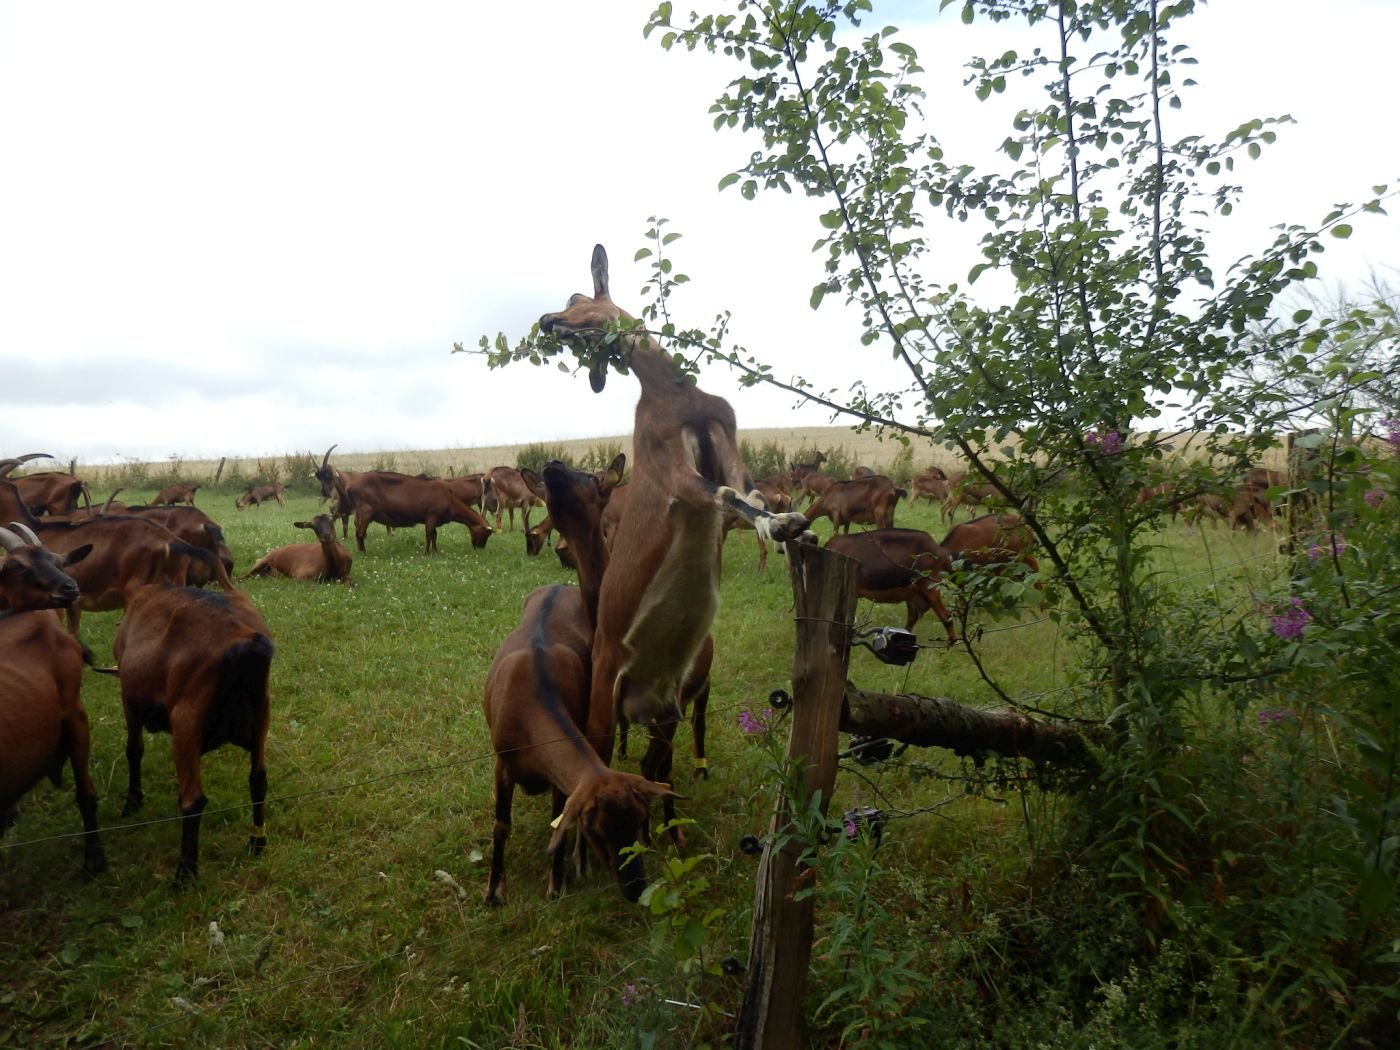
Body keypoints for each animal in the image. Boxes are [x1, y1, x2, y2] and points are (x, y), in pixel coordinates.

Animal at [0, 524, 105, 874]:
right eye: (15, 567)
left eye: (58, 561)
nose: (70, 587)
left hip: (74, 715)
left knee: (86, 791)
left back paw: (94, 859)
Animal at [112, 559, 273, 884]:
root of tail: (246, 641)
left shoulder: (129, 700)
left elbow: (134, 751)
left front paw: (133, 801)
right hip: (262, 711)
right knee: (258, 779)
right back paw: (256, 841)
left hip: (187, 719)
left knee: (194, 800)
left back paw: (184, 874)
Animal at [484, 456, 675, 904]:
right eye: (598, 830)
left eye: (590, 477)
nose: (552, 464)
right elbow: (504, 824)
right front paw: (496, 890)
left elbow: (562, 809)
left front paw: (561, 877)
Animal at [536, 244, 811, 777]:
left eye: (577, 297)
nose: (546, 321)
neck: (675, 394)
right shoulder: (671, 470)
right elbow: (724, 496)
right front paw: (786, 525)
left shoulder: (728, 443)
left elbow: (751, 497)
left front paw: (796, 536)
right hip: (604, 699)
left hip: (668, 708)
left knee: (653, 765)